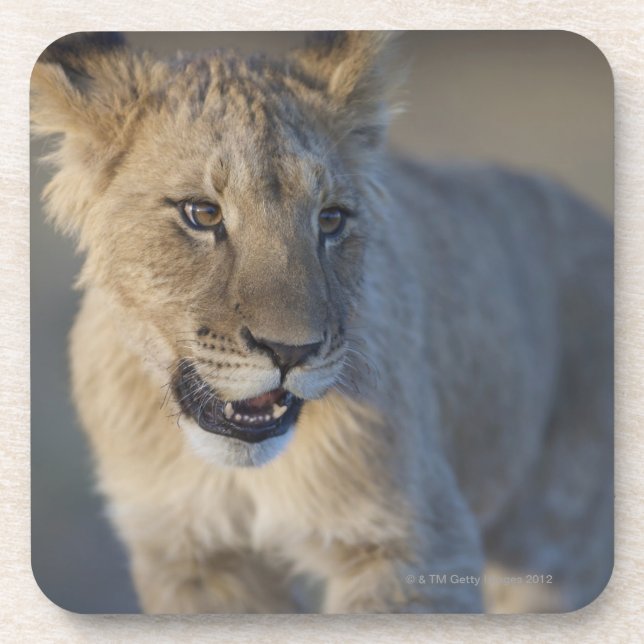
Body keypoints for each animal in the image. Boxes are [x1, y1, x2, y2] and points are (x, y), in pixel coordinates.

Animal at [31, 31, 613, 613]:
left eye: (330, 220)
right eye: (202, 213)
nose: (291, 352)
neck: (241, 476)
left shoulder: (419, 544)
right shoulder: (186, 553)